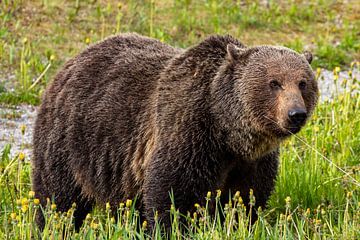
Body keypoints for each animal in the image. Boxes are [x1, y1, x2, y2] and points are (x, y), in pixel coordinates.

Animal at [31, 32, 318, 230]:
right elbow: (173, 194)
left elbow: (246, 197)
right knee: (58, 195)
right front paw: (176, 227)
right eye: (274, 83)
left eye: (303, 82)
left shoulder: (252, 161)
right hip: (70, 139)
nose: (295, 114)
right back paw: (54, 225)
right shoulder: (189, 133)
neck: (229, 131)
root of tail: (70, 63)